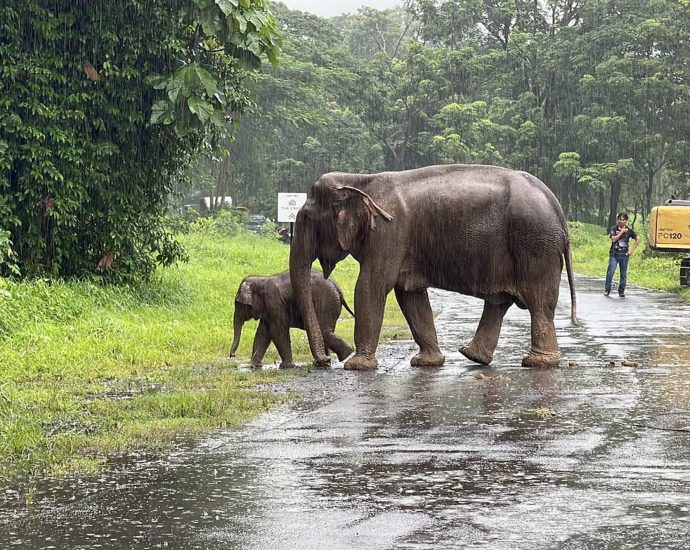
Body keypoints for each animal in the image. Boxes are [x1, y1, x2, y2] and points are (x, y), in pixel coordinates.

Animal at [288, 164, 576, 370]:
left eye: (307, 219)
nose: (324, 362)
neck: (360, 180)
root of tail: (557, 208)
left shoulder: (389, 232)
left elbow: (371, 286)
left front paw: (357, 366)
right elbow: (410, 295)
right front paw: (426, 363)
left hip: (535, 244)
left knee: (539, 301)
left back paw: (537, 363)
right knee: (500, 301)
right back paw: (473, 356)